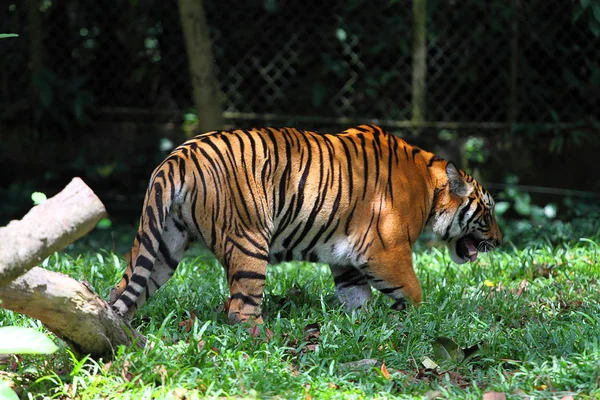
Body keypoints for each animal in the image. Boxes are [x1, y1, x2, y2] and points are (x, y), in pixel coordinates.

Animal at [109, 123, 502, 324]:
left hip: (163, 244)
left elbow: (357, 297)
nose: (499, 241)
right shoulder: (385, 251)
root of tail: (177, 157)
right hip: (249, 241)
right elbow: (414, 292)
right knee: (241, 309)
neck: (429, 185)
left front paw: (362, 328)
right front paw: (416, 321)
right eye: (488, 211)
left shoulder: (348, 258)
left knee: (122, 290)